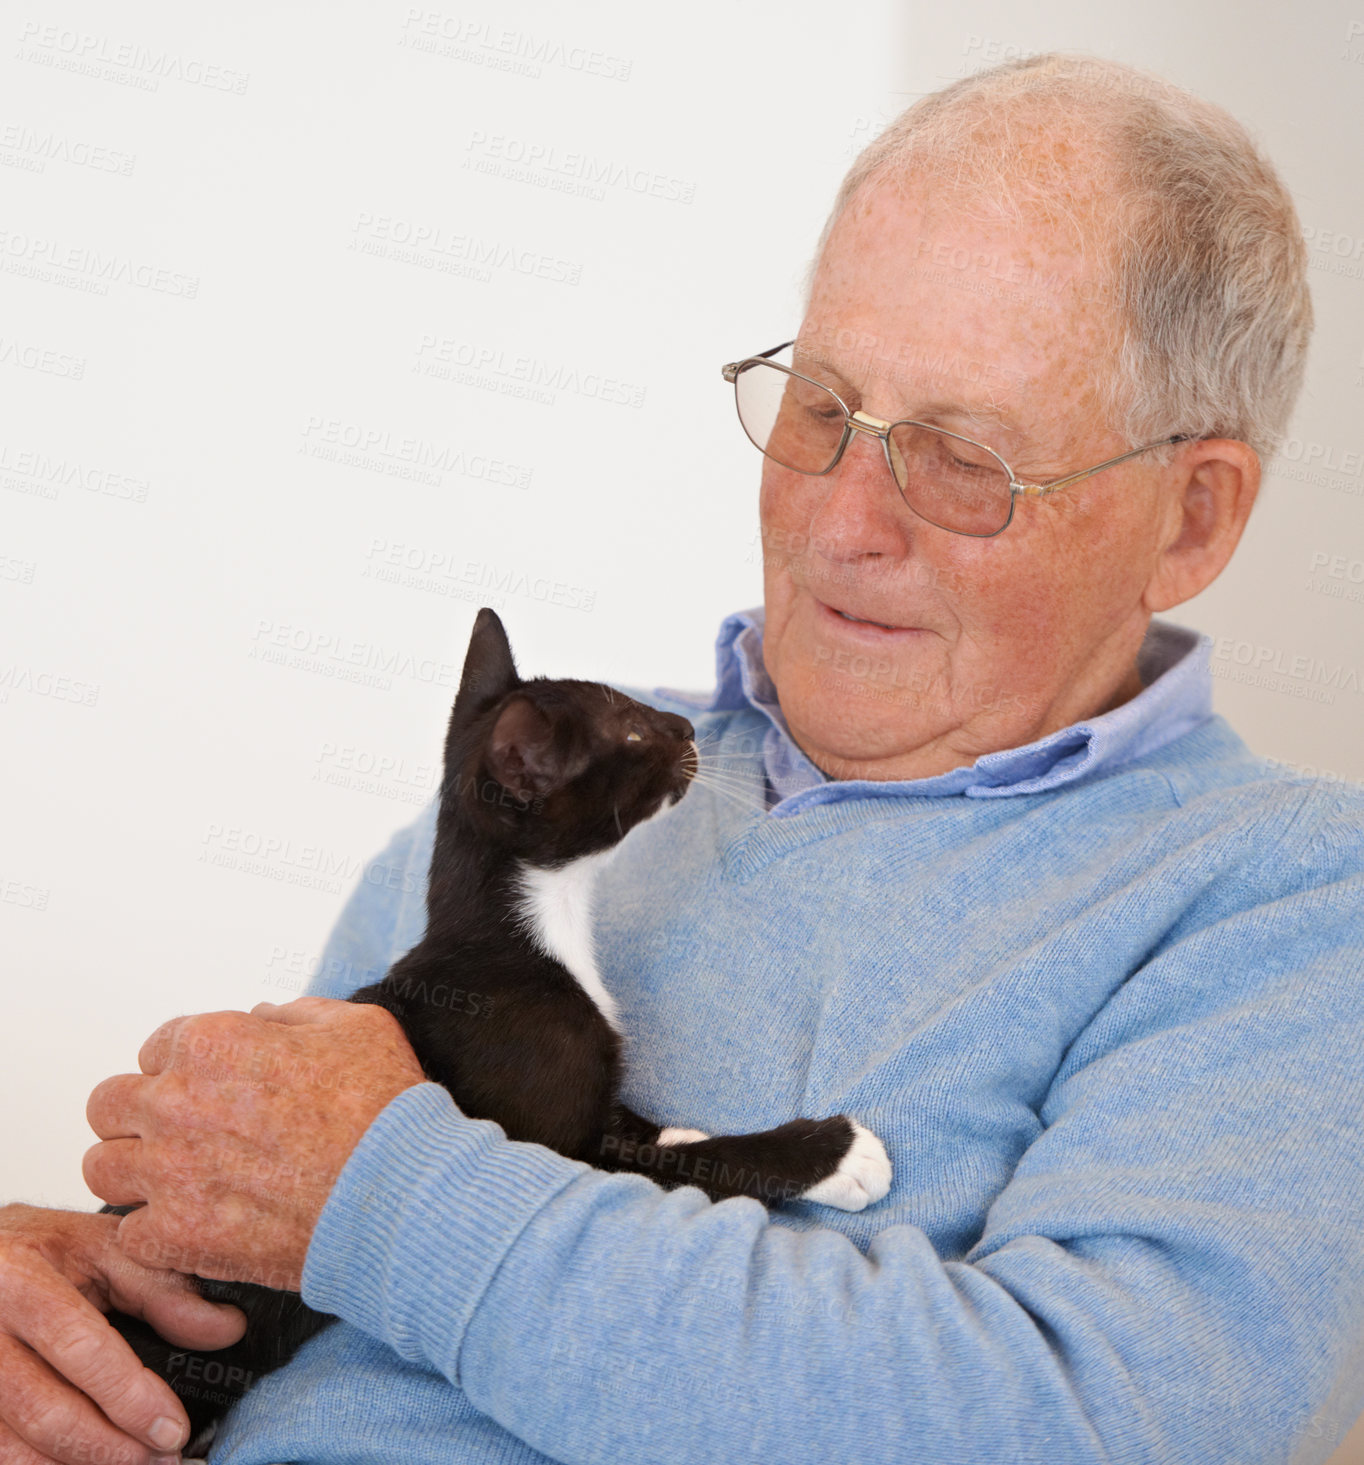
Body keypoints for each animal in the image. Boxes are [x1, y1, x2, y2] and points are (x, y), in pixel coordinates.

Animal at [101, 609, 890, 1453]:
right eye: (632, 732)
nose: (684, 723)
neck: (536, 930)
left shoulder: (600, 1104)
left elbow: (665, 1136)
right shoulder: (554, 1138)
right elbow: (695, 1163)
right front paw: (834, 1153)